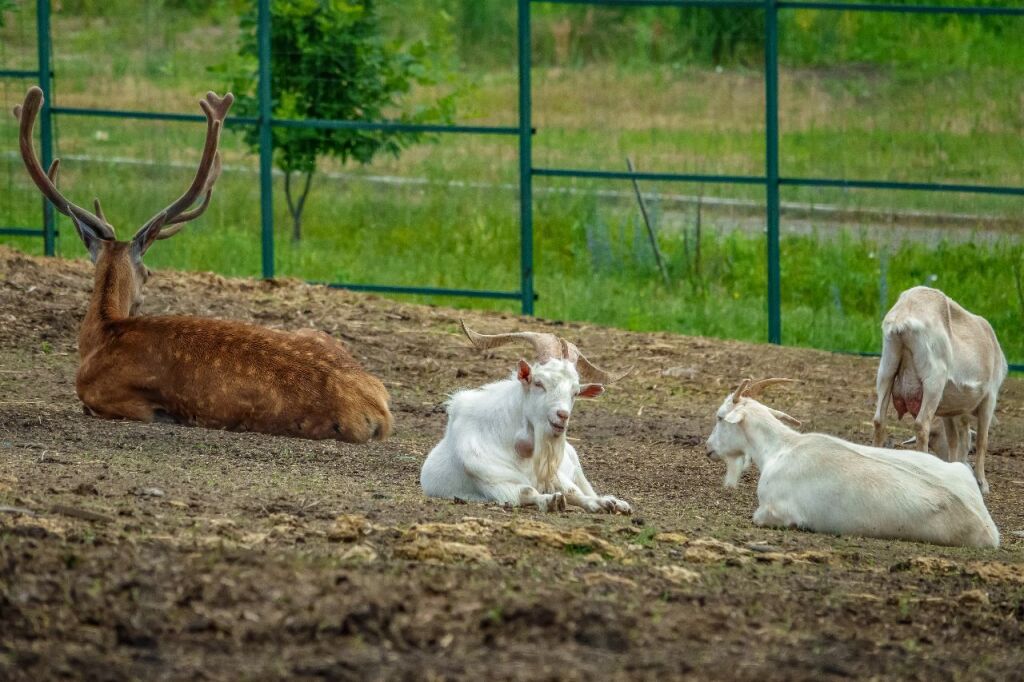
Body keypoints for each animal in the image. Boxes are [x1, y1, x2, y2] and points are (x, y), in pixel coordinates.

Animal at [14, 84, 393, 440]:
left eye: (148, 273)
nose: (139, 301)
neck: (100, 336)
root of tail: (379, 408)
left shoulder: (109, 398)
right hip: (314, 332)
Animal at [417, 321, 630, 512]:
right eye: (538, 383)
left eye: (575, 392)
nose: (562, 415)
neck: (518, 448)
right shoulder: (492, 482)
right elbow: (526, 491)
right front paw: (551, 501)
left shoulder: (555, 475)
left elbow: (573, 491)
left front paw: (603, 503)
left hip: (575, 463)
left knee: (586, 487)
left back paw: (616, 502)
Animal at [872, 284, 1007, 491]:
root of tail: (903, 316)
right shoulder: (990, 397)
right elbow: (982, 440)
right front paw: (982, 483)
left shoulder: (949, 409)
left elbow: (954, 439)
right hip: (934, 378)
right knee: (921, 425)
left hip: (887, 368)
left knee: (879, 420)